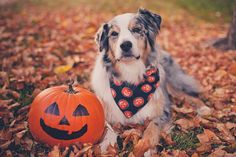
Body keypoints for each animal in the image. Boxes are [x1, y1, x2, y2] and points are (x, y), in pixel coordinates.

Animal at [91, 8, 200, 156]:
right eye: (114, 34)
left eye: (137, 29)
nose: (125, 45)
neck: (130, 76)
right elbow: (108, 128)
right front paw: (105, 146)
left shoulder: (163, 111)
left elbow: (152, 127)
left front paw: (146, 148)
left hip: (172, 85)